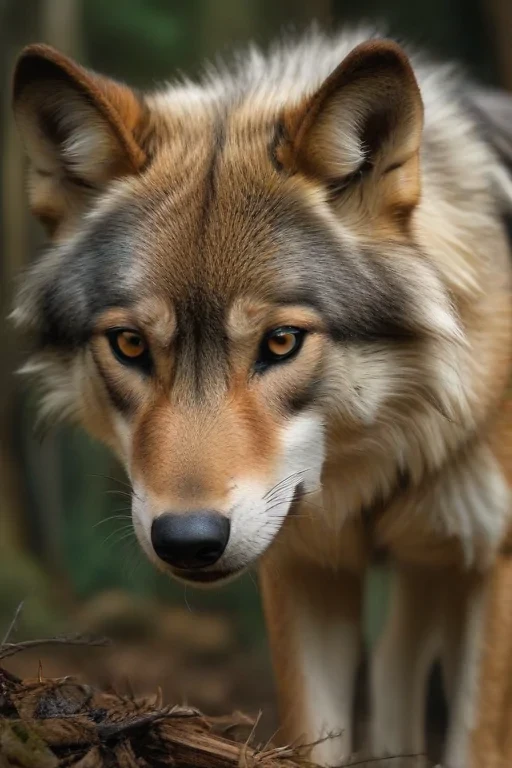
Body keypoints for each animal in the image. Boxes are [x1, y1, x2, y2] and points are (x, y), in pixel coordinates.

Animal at [10, 26, 512, 767]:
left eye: (280, 342)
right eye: (130, 345)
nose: (187, 541)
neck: (382, 459)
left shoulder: (492, 566)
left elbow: (476, 743)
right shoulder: (304, 565)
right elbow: (314, 740)